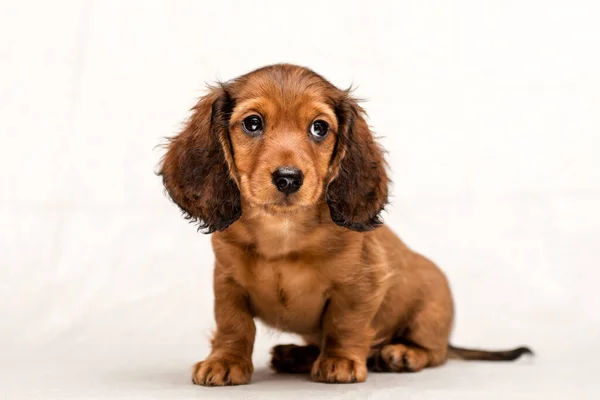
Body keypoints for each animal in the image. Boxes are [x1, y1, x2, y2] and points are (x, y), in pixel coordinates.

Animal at [159, 64, 528, 386]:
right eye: (252, 123)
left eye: (319, 128)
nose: (288, 178)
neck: (282, 231)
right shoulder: (228, 282)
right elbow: (234, 324)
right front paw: (225, 361)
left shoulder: (360, 283)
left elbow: (344, 323)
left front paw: (340, 361)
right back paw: (295, 355)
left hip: (429, 311)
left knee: (435, 352)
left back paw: (402, 353)